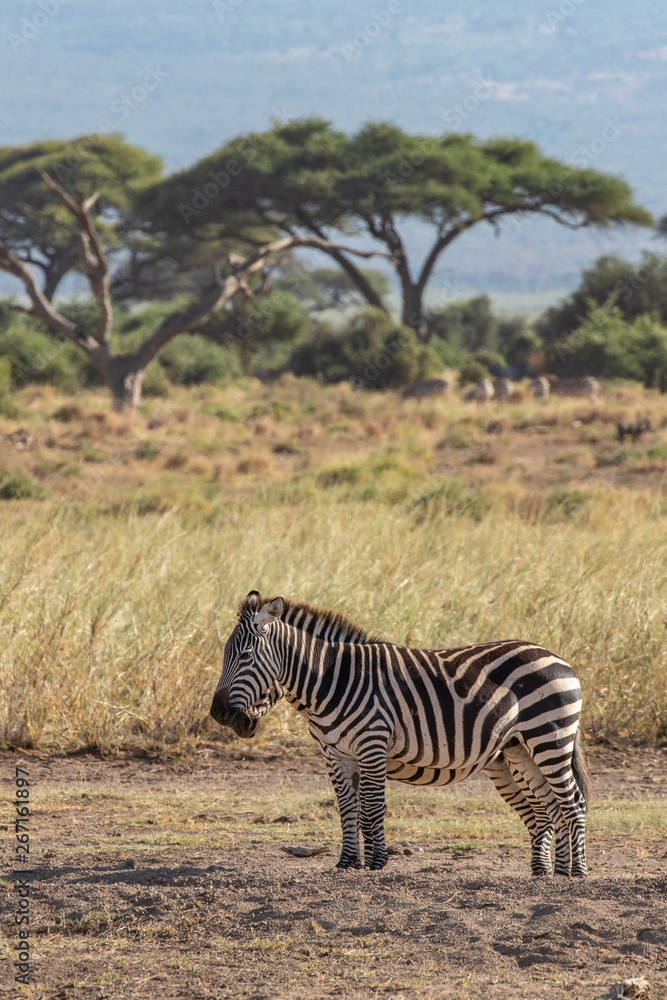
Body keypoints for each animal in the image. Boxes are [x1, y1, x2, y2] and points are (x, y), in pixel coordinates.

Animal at [211, 591, 589, 877]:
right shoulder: (336, 754)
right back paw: (552, 871)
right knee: (550, 805)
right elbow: (347, 808)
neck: (331, 680)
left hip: (549, 737)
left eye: (245, 655)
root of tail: (556, 656)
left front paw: (377, 862)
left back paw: (577, 873)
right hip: (519, 749)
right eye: (225, 654)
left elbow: (371, 808)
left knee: (573, 801)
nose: (218, 713)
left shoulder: (372, 745)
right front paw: (348, 862)